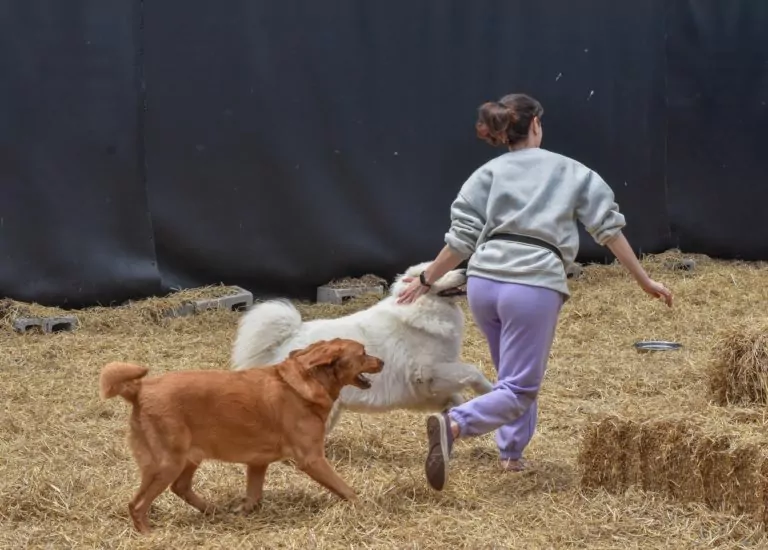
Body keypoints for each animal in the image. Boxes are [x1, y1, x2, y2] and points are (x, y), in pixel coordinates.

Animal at [230, 264, 492, 436]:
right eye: (441, 272)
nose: (464, 271)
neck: (422, 309)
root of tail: (289, 337)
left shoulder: (428, 387)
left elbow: (455, 398)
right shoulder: (429, 371)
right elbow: (472, 371)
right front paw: (488, 389)